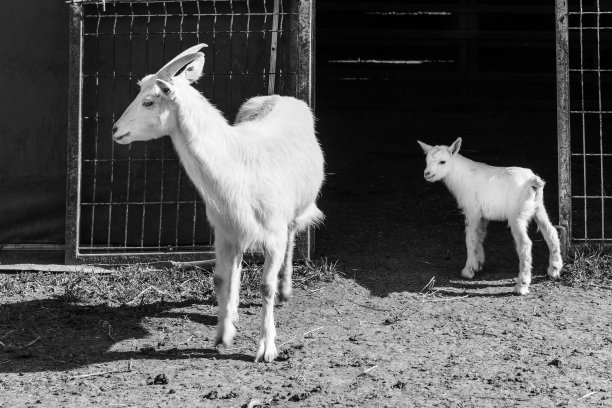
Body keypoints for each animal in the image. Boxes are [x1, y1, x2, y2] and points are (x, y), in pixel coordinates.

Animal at [113, 45, 328, 364]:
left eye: (149, 101)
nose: (116, 130)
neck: (237, 164)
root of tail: (280, 97)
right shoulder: (223, 228)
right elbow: (219, 277)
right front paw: (223, 333)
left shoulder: (273, 231)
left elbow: (265, 286)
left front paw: (266, 349)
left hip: (292, 210)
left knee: (292, 236)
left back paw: (286, 289)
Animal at [418, 139, 560, 294]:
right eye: (426, 160)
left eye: (442, 162)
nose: (427, 173)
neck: (461, 175)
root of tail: (532, 180)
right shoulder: (483, 215)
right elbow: (480, 235)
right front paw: (478, 263)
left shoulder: (472, 210)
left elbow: (470, 237)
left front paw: (468, 270)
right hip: (538, 207)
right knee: (551, 231)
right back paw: (554, 269)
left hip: (517, 214)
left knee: (525, 244)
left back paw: (521, 285)